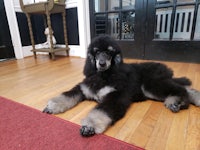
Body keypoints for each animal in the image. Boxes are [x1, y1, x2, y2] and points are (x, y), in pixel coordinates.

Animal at [43, 35, 200, 137]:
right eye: (97, 52)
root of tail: (166, 69)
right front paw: (52, 106)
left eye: (109, 52)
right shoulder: (83, 88)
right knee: (185, 88)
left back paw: (176, 102)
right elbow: (68, 95)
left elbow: (102, 110)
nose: (101, 64)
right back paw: (194, 98)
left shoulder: (116, 96)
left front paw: (90, 125)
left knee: (180, 89)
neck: (104, 75)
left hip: (151, 84)